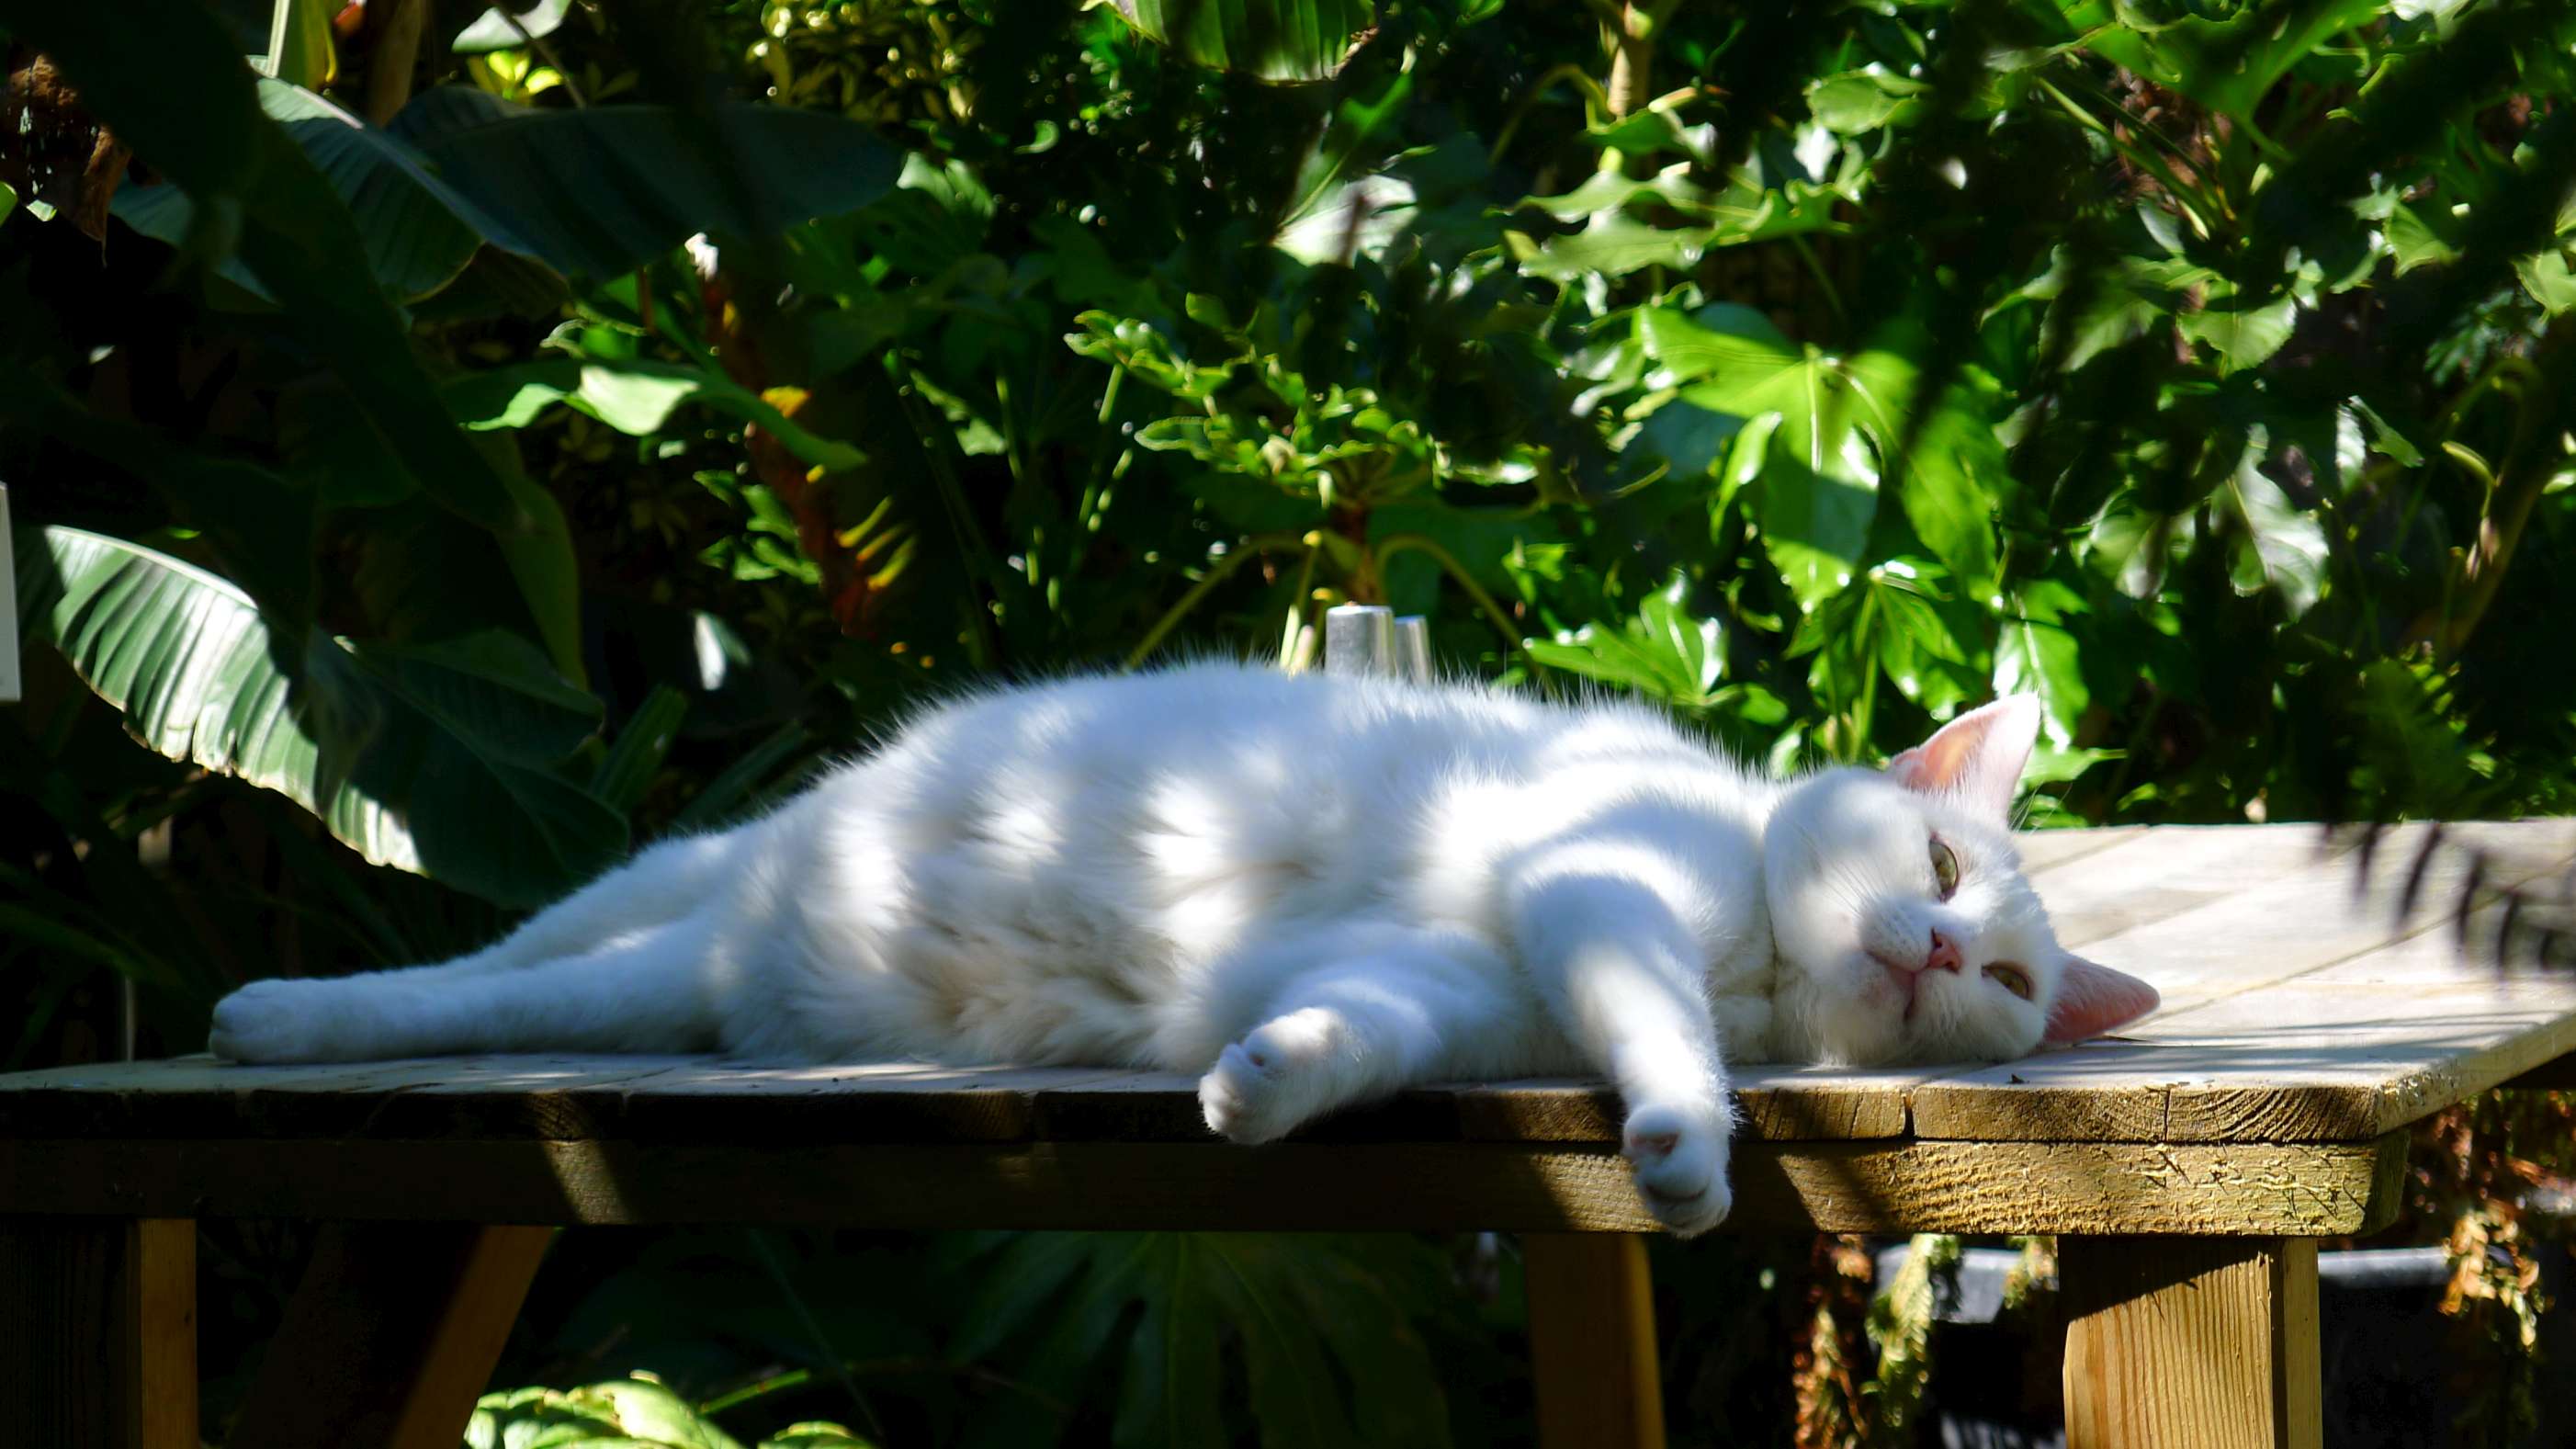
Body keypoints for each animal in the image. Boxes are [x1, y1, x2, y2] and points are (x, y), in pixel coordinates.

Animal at [207, 663, 2159, 1235]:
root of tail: (735, 954)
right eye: (1931, 859)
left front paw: (1254, 1086)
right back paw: (271, 1010)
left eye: (2003, 985)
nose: (1932, 955)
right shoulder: (1592, 882)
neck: (1760, 958)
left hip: (682, 955)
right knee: (480, 975)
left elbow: (1350, 1033)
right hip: (652, 879)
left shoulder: (1451, 989)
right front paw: (1683, 1145)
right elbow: (1658, 1017)